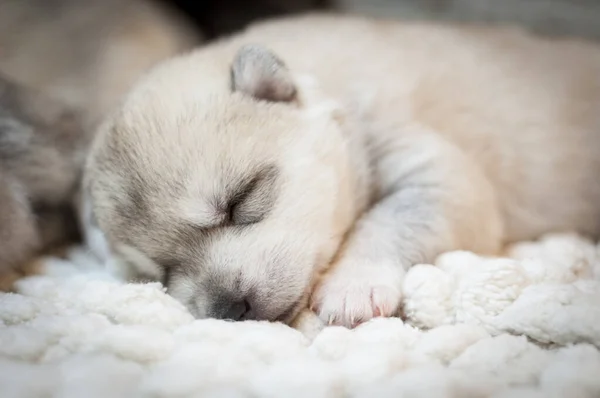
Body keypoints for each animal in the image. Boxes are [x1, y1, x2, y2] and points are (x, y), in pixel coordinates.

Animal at [83, 14, 600, 326]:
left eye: (240, 201)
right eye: (158, 272)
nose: (229, 309)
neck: (330, 86)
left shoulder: (436, 175)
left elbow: (386, 221)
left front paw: (351, 285)